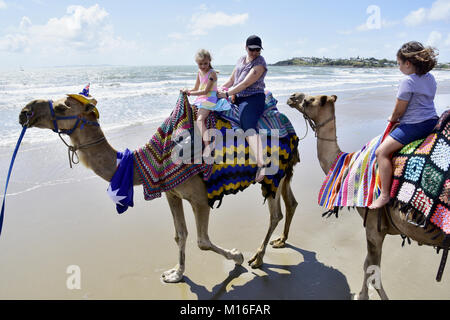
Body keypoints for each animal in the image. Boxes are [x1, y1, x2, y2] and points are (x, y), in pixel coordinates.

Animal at [18, 94, 298, 282]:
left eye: (61, 106)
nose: (24, 111)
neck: (145, 162)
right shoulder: (171, 193)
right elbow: (180, 235)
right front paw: (176, 273)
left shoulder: (199, 198)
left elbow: (202, 241)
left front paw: (237, 256)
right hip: (283, 174)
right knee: (290, 203)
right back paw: (277, 243)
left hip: (272, 175)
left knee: (275, 212)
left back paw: (257, 258)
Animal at [286, 92, 448, 300]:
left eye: (311, 100)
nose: (292, 97)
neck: (349, 163)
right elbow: (369, 265)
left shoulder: (373, 225)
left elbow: (370, 266)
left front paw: (362, 296)